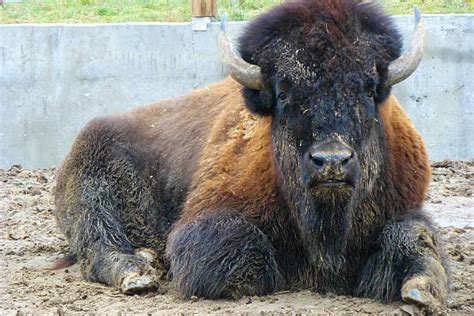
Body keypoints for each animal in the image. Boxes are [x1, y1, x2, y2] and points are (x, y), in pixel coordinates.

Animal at [54, 0, 448, 310]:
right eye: (284, 93)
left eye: (368, 88)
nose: (331, 161)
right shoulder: (209, 217)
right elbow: (236, 255)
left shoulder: (405, 207)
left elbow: (415, 238)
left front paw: (421, 291)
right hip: (93, 197)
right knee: (98, 247)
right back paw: (139, 272)